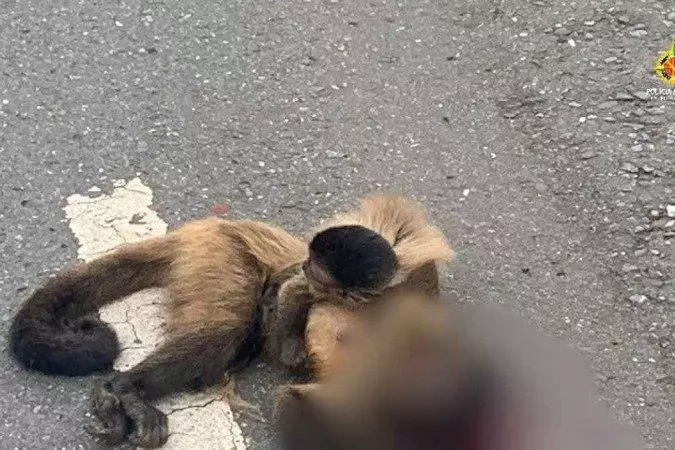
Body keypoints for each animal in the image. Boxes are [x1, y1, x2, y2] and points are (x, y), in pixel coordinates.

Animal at [7, 192, 454, 448]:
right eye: (312, 268)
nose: (308, 268)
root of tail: (219, 226)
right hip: (224, 258)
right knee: (223, 335)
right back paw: (123, 390)